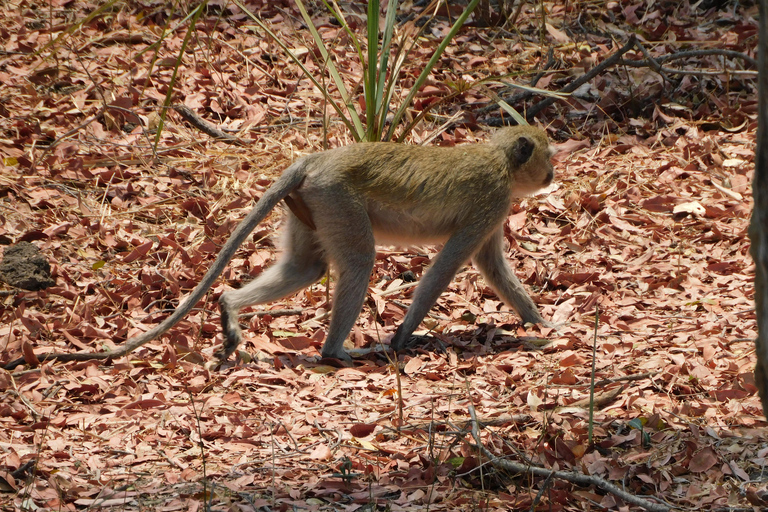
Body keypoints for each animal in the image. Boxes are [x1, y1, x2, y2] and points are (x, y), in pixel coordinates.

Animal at [7, 126, 560, 370]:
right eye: (548, 155)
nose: (554, 171)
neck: (498, 159)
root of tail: (315, 160)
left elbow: (492, 265)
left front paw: (539, 323)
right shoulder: (490, 201)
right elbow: (447, 266)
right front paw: (404, 336)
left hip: (312, 204)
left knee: (307, 267)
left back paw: (229, 307)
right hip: (336, 198)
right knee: (358, 261)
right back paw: (336, 352)